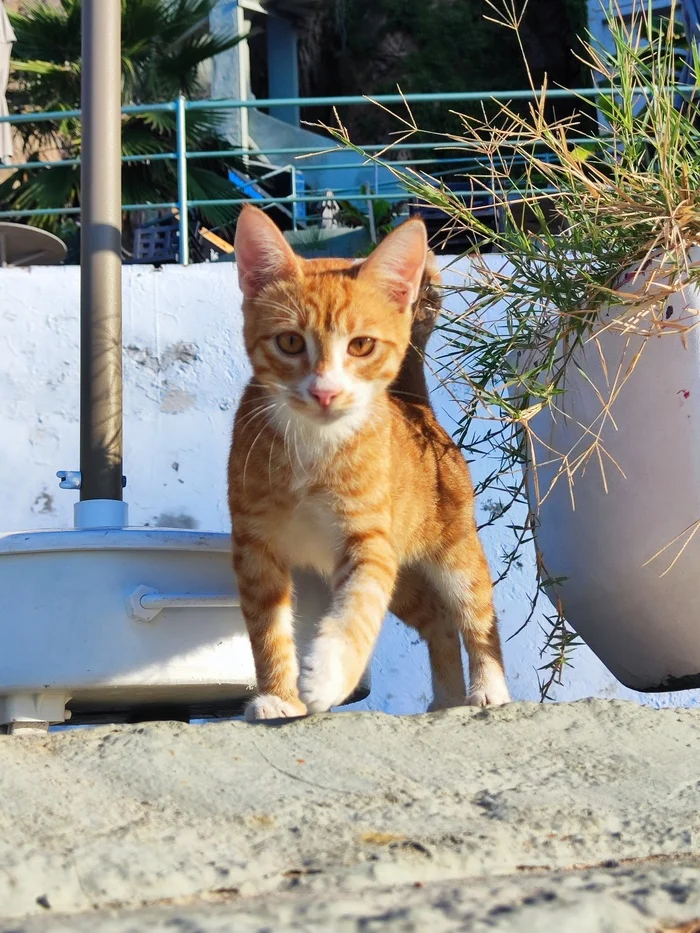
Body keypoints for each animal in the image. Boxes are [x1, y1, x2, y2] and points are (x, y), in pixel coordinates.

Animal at [228, 206, 508, 720]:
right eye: (290, 342)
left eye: (360, 346)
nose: (325, 391)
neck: (315, 445)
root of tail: (416, 407)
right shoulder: (255, 545)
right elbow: (265, 626)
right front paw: (279, 696)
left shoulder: (369, 543)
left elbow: (357, 611)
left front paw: (328, 676)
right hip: (406, 580)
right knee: (438, 619)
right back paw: (446, 699)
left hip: (454, 551)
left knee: (474, 613)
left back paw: (488, 688)